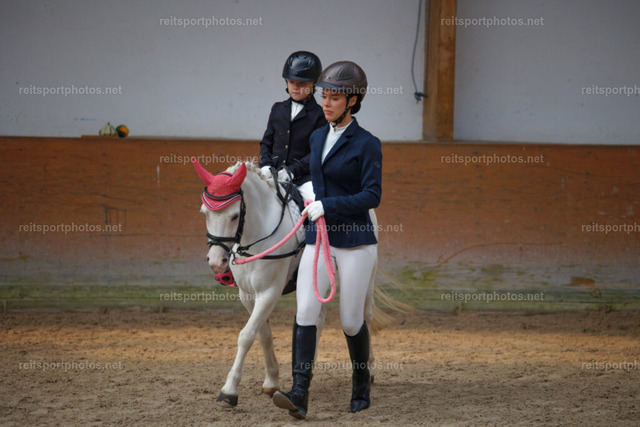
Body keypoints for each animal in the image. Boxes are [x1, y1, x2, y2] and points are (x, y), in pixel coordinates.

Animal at [194, 160, 384, 408]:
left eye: (235, 216)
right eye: (204, 213)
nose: (217, 262)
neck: (256, 234)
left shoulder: (269, 292)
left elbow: (246, 336)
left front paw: (229, 391)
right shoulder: (247, 295)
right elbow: (262, 335)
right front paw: (271, 382)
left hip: (365, 275)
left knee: (366, 316)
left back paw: (369, 370)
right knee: (317, 317)